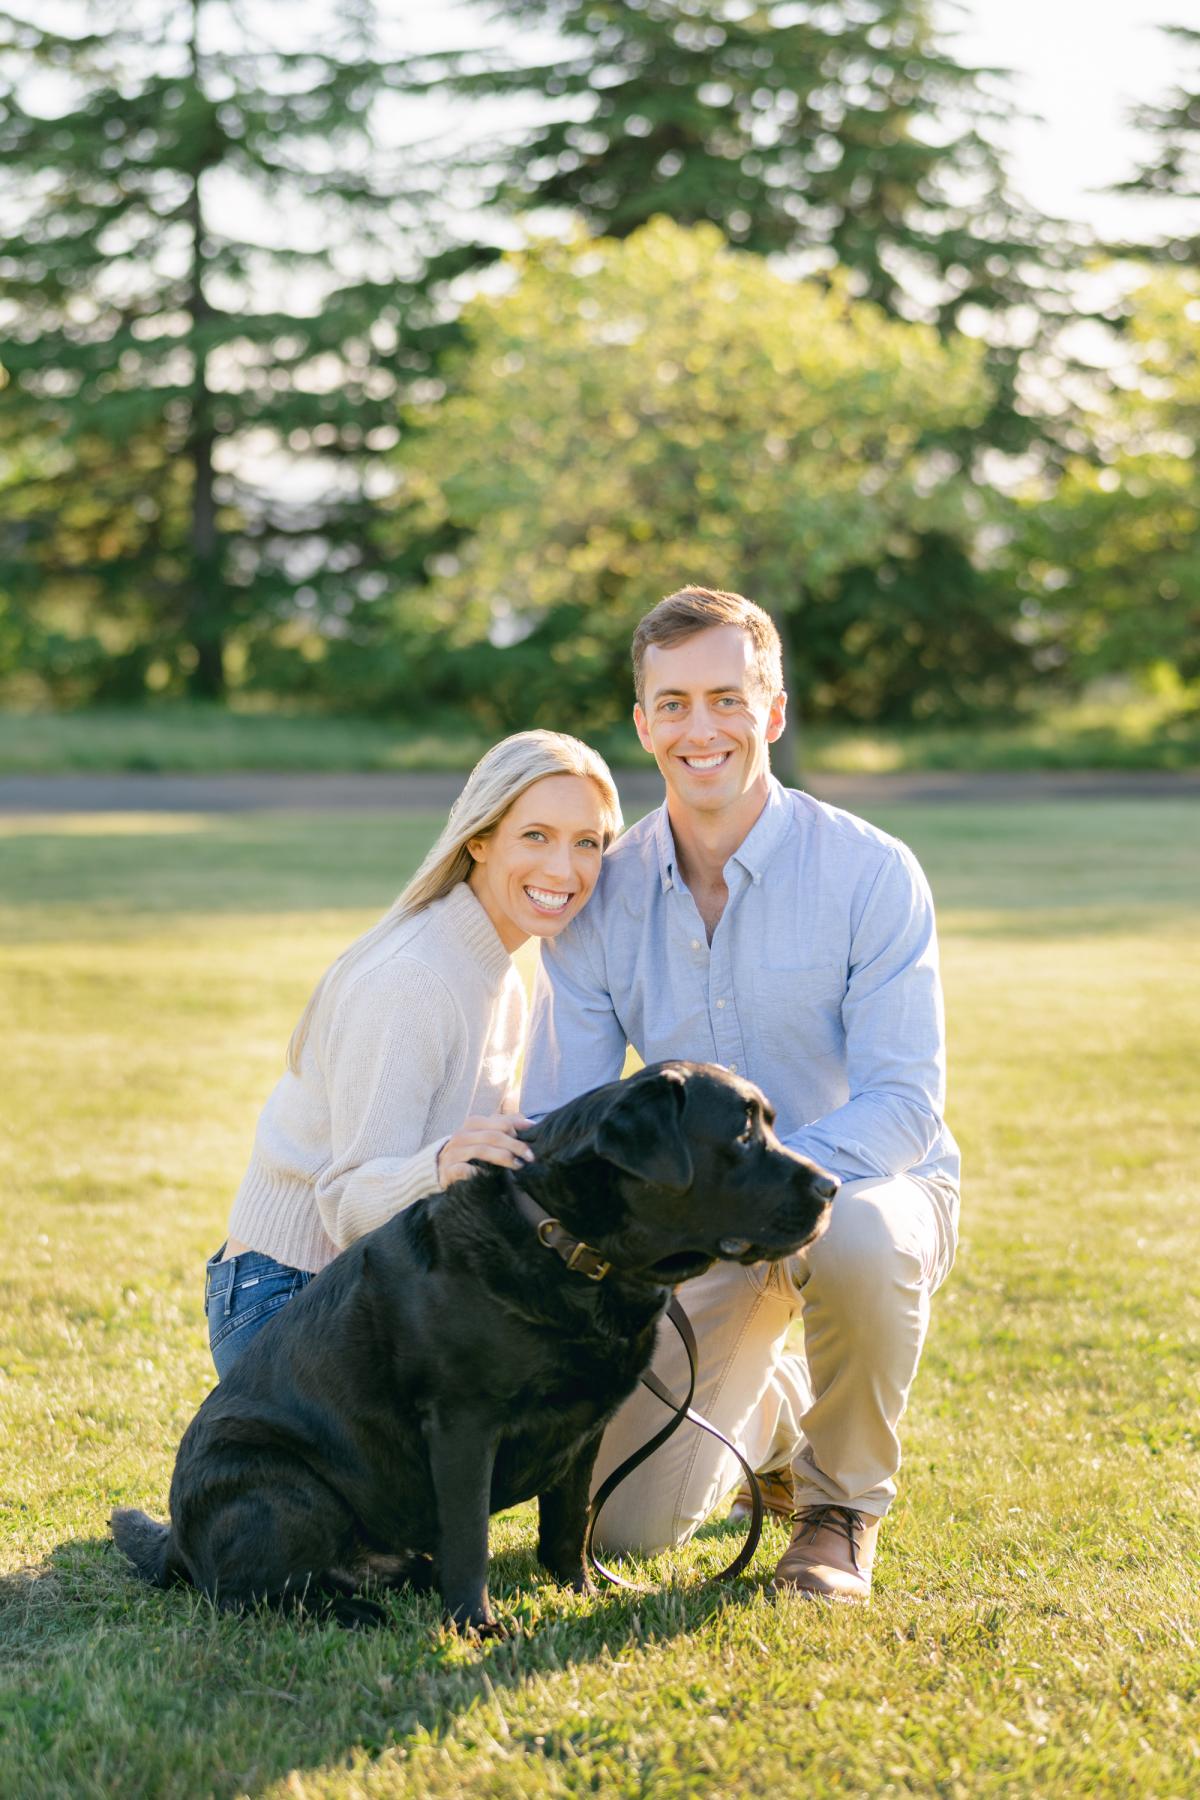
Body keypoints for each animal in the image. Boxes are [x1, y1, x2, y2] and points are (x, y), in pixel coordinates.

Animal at [116, 1058, 841, 1641]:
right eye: (742, 1135)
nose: (831, 1186)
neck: (567, 1248)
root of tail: (177, 1540)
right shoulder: (464, 1422)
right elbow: (471, 1537)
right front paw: (476, 1626)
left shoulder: (586, 1426)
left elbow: (569, 1523)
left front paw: (580, 1591)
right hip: (282, 1483)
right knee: (250, 1594)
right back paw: (355, 1612)